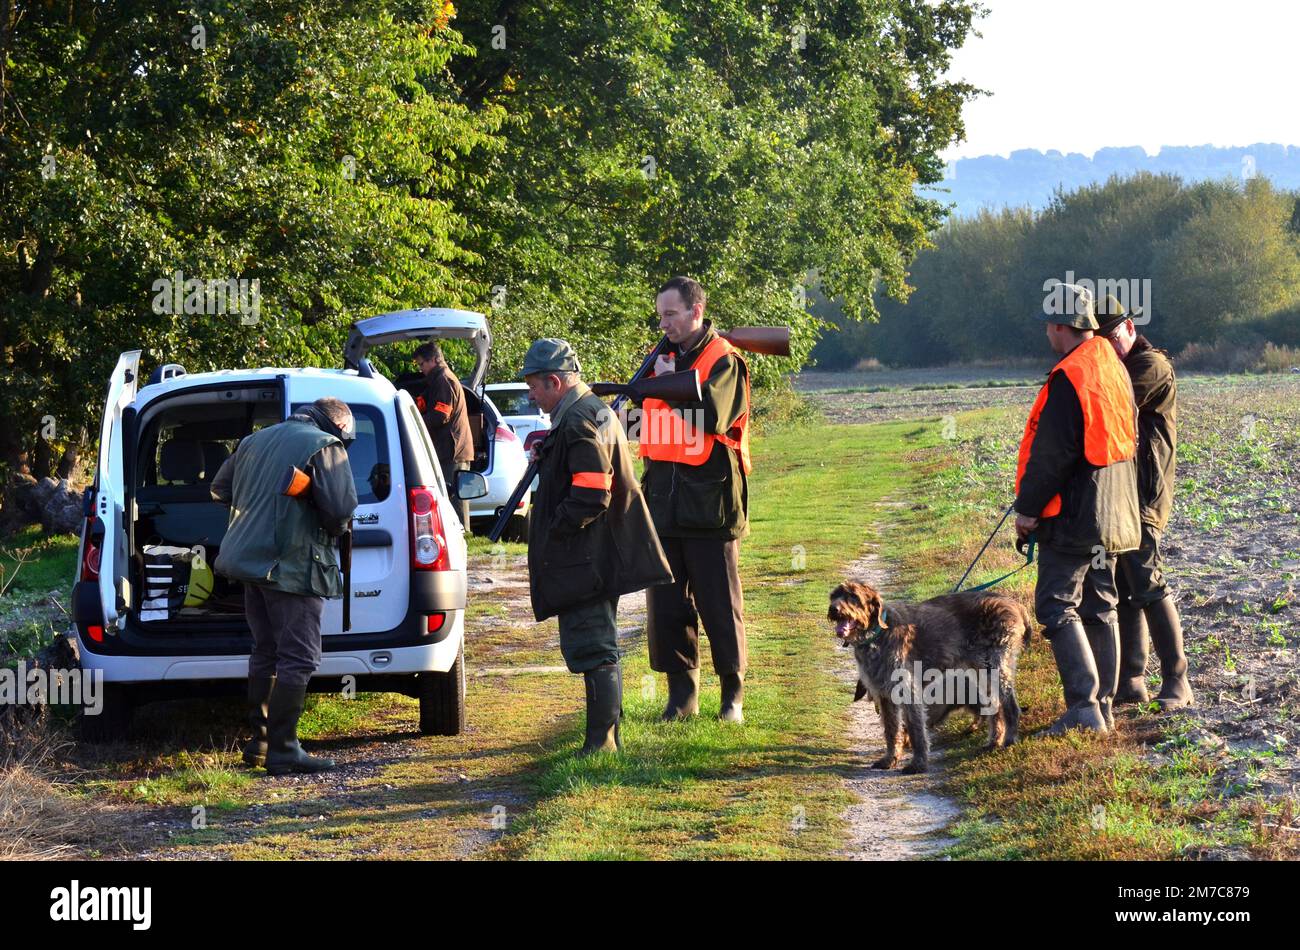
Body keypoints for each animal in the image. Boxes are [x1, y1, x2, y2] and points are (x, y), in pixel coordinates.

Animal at [826, 579, 1029, 774]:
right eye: (834, 595)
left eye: (853, 596)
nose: (833, 609)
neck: (877, 635)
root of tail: (1013, 603)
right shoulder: (885, 695)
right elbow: (891, 730)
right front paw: (889, 759)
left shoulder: (907, 690)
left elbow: (915, 730)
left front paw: (918, 764)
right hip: (982, 673)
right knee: (994, 707)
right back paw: (993, 742)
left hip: (996, 668)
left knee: (1010, 707)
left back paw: (1009, 741)